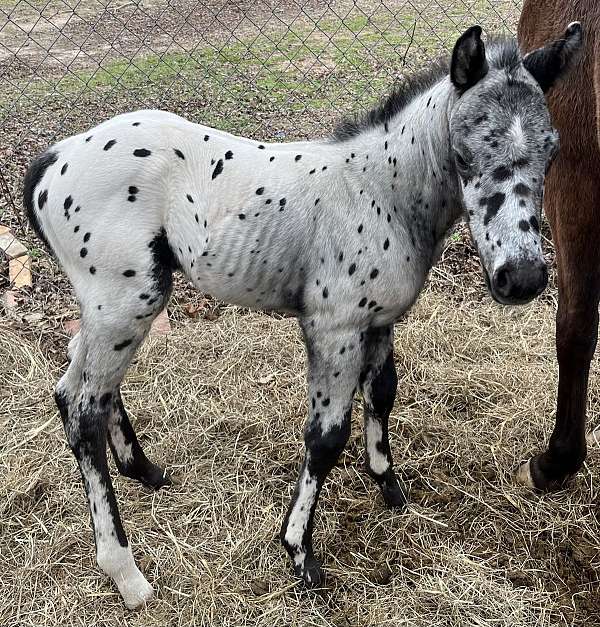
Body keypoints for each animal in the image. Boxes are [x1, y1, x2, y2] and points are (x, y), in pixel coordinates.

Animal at [23, 24, 580, 608]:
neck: (381, 192)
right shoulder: (334, 327)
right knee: (83, 406)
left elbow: (382, 393)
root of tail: (51, 161)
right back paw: (126, 572)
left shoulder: (378, 321)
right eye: (465, 152)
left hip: (109, 309)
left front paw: (387, 483)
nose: (522, 278)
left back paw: (144, 470)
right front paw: (299, 551)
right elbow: (326, 436)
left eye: (551, 151)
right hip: (126, 301)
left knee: (80, 382)